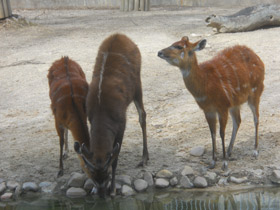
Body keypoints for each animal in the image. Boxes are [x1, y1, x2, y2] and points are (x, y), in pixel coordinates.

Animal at [74, 32, 149, 197]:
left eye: (107, 174)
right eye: (92, 175)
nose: (102, 194)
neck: (102, 111)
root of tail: (121, 35)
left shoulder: (122, 123)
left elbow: (115, 158)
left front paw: (114, 189)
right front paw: (94, 189)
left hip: (138, 84)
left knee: (143, 115)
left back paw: (144, 158)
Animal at [158, 36, 264, 171]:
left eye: (179, 46)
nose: (159, 52)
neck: (205, 84)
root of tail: (257, 57)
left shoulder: (222, 106)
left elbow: (221, 133)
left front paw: (224, 164)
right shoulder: (208, 110)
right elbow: (212, 133)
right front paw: (213, 162)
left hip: (255, 92)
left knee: (256, 118)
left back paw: (255, 151)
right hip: (235, 103)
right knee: (238, 120)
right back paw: (229, 152)